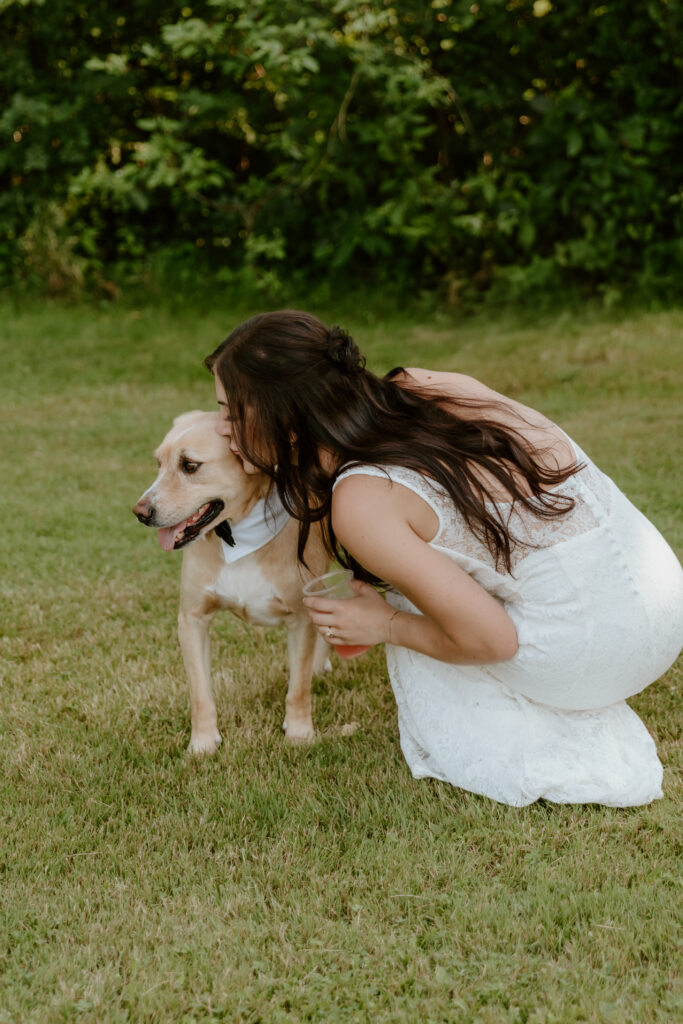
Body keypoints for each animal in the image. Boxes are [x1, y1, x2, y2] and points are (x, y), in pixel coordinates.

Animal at [133, 411, 331, 757]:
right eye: (158, 463)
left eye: (190, 465)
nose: (140, 512)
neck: (238, 535)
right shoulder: (192, 620)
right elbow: (200, 693)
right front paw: (202, 743)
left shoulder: (301, 620)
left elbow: (298, 687)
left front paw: (299, 733)